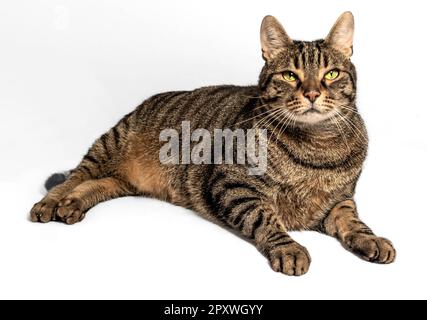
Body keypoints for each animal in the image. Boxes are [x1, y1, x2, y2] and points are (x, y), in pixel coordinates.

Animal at [30, 13, 398, 276]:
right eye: (290, 75)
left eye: (331, 74)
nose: (311, 93)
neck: (317, 146)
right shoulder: (233, 184)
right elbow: (266, 218)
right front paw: (288, 247)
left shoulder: (339, 201)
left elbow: (353, 221)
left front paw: (371, 239)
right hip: (109, 144)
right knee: (74, 178)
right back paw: (52, 204)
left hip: (124, 182)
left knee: (97, 185)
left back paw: (72, 206)